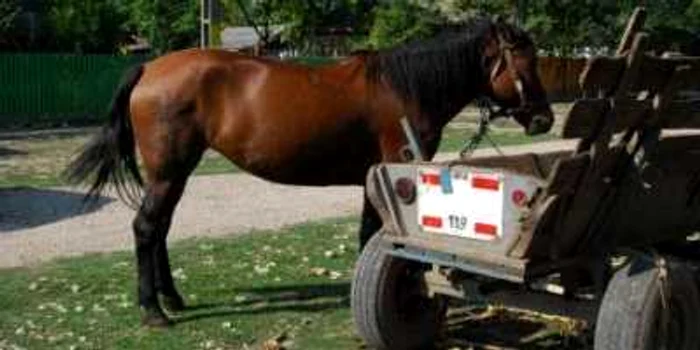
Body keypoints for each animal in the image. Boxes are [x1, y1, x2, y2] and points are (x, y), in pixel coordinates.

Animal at [64, 17, 552, 326]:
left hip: (176, 173)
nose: (544, 119)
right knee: (147, 228)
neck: (404, 88)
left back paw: (173, 298)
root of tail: (150, 66)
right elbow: (377, 233)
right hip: (169, 172)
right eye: (525, 62)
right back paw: (154, 310)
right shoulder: (391, 174)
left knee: (160, 228)